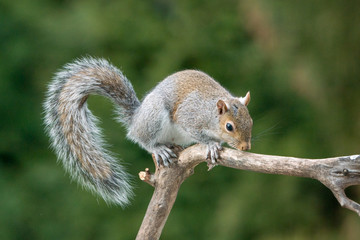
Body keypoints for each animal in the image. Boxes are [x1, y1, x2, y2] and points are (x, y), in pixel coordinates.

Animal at [43, 56, 252, 206]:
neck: (211, 115)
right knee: (142, 139)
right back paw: (158, 149)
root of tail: (136, 119)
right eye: (229, 126)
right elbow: (198, 133)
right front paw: (211, 145)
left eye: (250, 121)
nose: (245, 147)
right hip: (154, 118)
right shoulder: (190, 116)